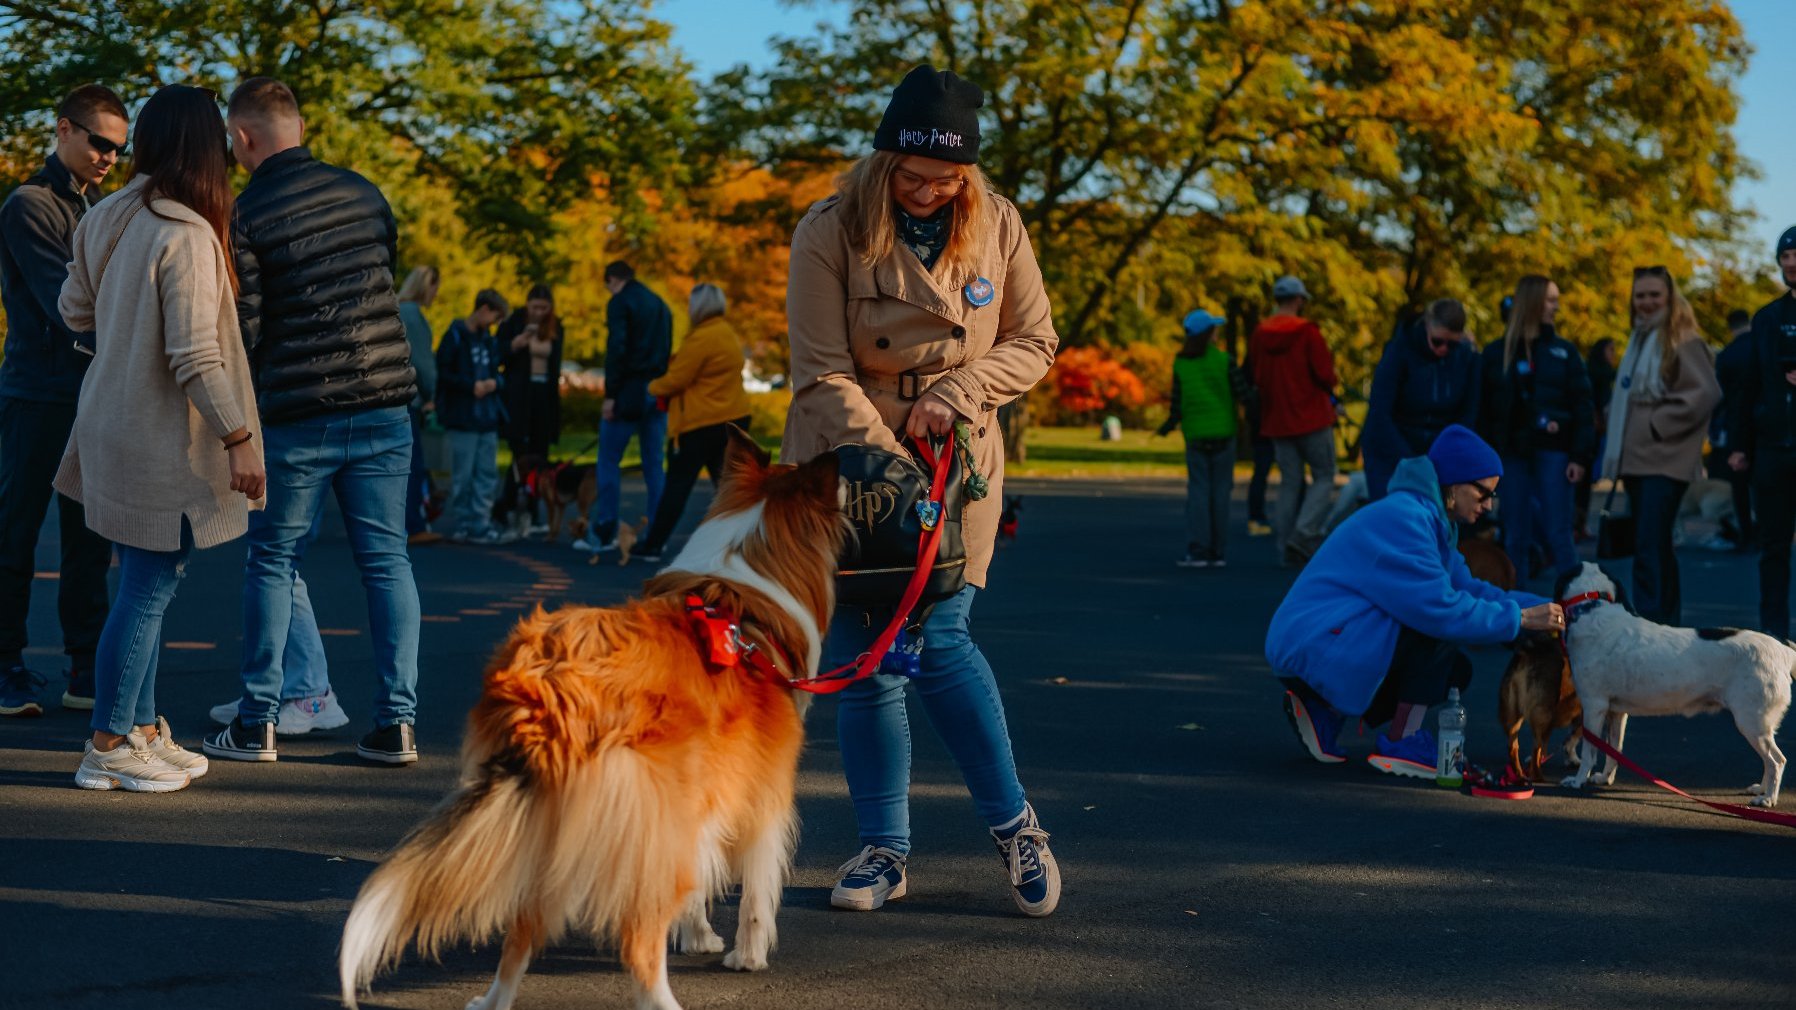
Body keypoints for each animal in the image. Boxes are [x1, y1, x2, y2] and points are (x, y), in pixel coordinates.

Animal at [343, 427, 847, 1006]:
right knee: (638, 947)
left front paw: (697, 936)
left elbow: (701, 879)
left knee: (521, 932)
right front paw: (747, 955)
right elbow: (756, 891)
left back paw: (493, 998)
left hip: (552, 831)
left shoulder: (700, 808)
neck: (743, 601)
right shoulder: (761, 796)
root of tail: (548, 693)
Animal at [1494, 632, 1580, 783]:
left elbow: (1571, 737)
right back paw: (1538, 776)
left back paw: (1520, 774)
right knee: (1536, 748)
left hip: (1514, 716)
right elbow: (1576, 737)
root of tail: (1528, 653)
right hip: (1543, 715)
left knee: (1513, 746)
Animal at [1551, 560, 1788, 805]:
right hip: (1761, 726)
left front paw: (1578, 781)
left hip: (1751, 722)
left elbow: (1589, 753)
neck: (1592, 608)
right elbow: (1614, 750)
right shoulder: (1616, 712)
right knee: (1769, 761)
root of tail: (1783, 651)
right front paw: (1605, 778)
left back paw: (1768, 799)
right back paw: (1761, 789)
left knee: (1777, 761)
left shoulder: (1593, 706)